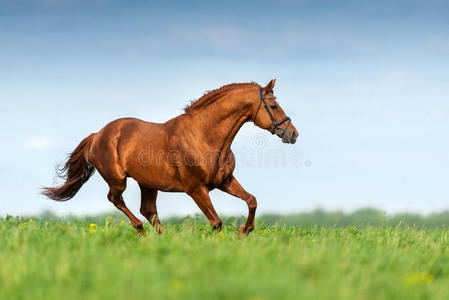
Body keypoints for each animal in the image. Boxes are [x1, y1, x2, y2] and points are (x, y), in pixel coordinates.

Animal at [43, 79, 298, 234]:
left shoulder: (224, 181)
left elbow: (251, 200)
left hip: (148, 183)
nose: (293, 134)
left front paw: (244, 231)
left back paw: (161, 236)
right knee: (116, 200)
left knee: (148, 210)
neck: (205, 137)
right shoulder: (196, 189)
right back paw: (141, 230)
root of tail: (97, 135)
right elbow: (216, 223)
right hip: (118, 180)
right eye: (273, 106)